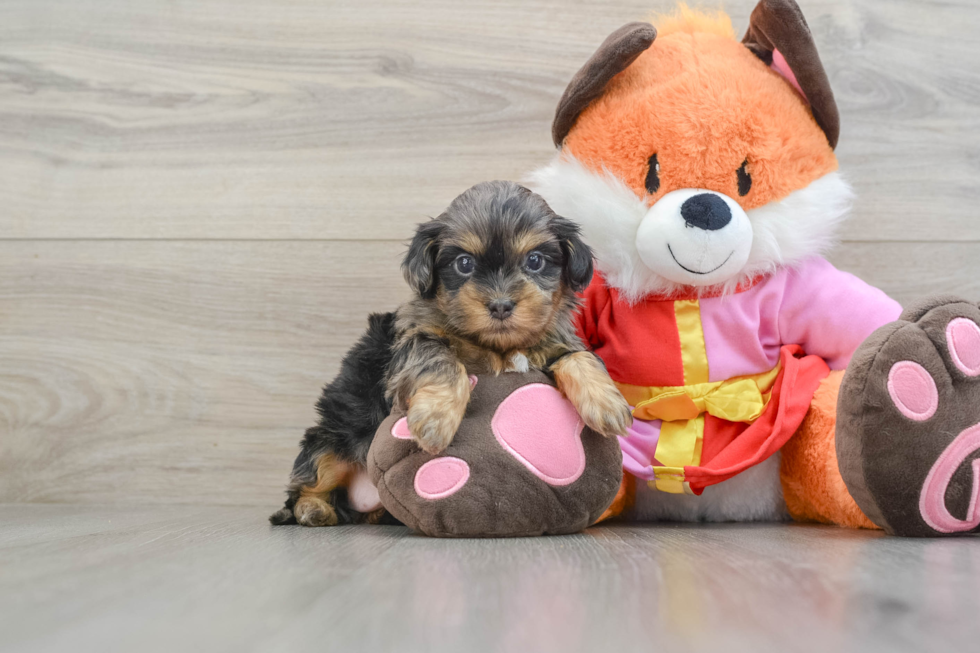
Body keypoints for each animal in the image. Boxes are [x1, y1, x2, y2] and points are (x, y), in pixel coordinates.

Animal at [272, 181, 632, 528]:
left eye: (535, 260)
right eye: (464, 263)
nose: (501, 305)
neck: (497, 346)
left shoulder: (554, 341)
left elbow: (579, 356)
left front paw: (608, 404)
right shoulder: (411, 342)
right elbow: (442, 361)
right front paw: (435, 418)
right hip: (331, 442)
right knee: (309, 481)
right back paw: (312, 509)